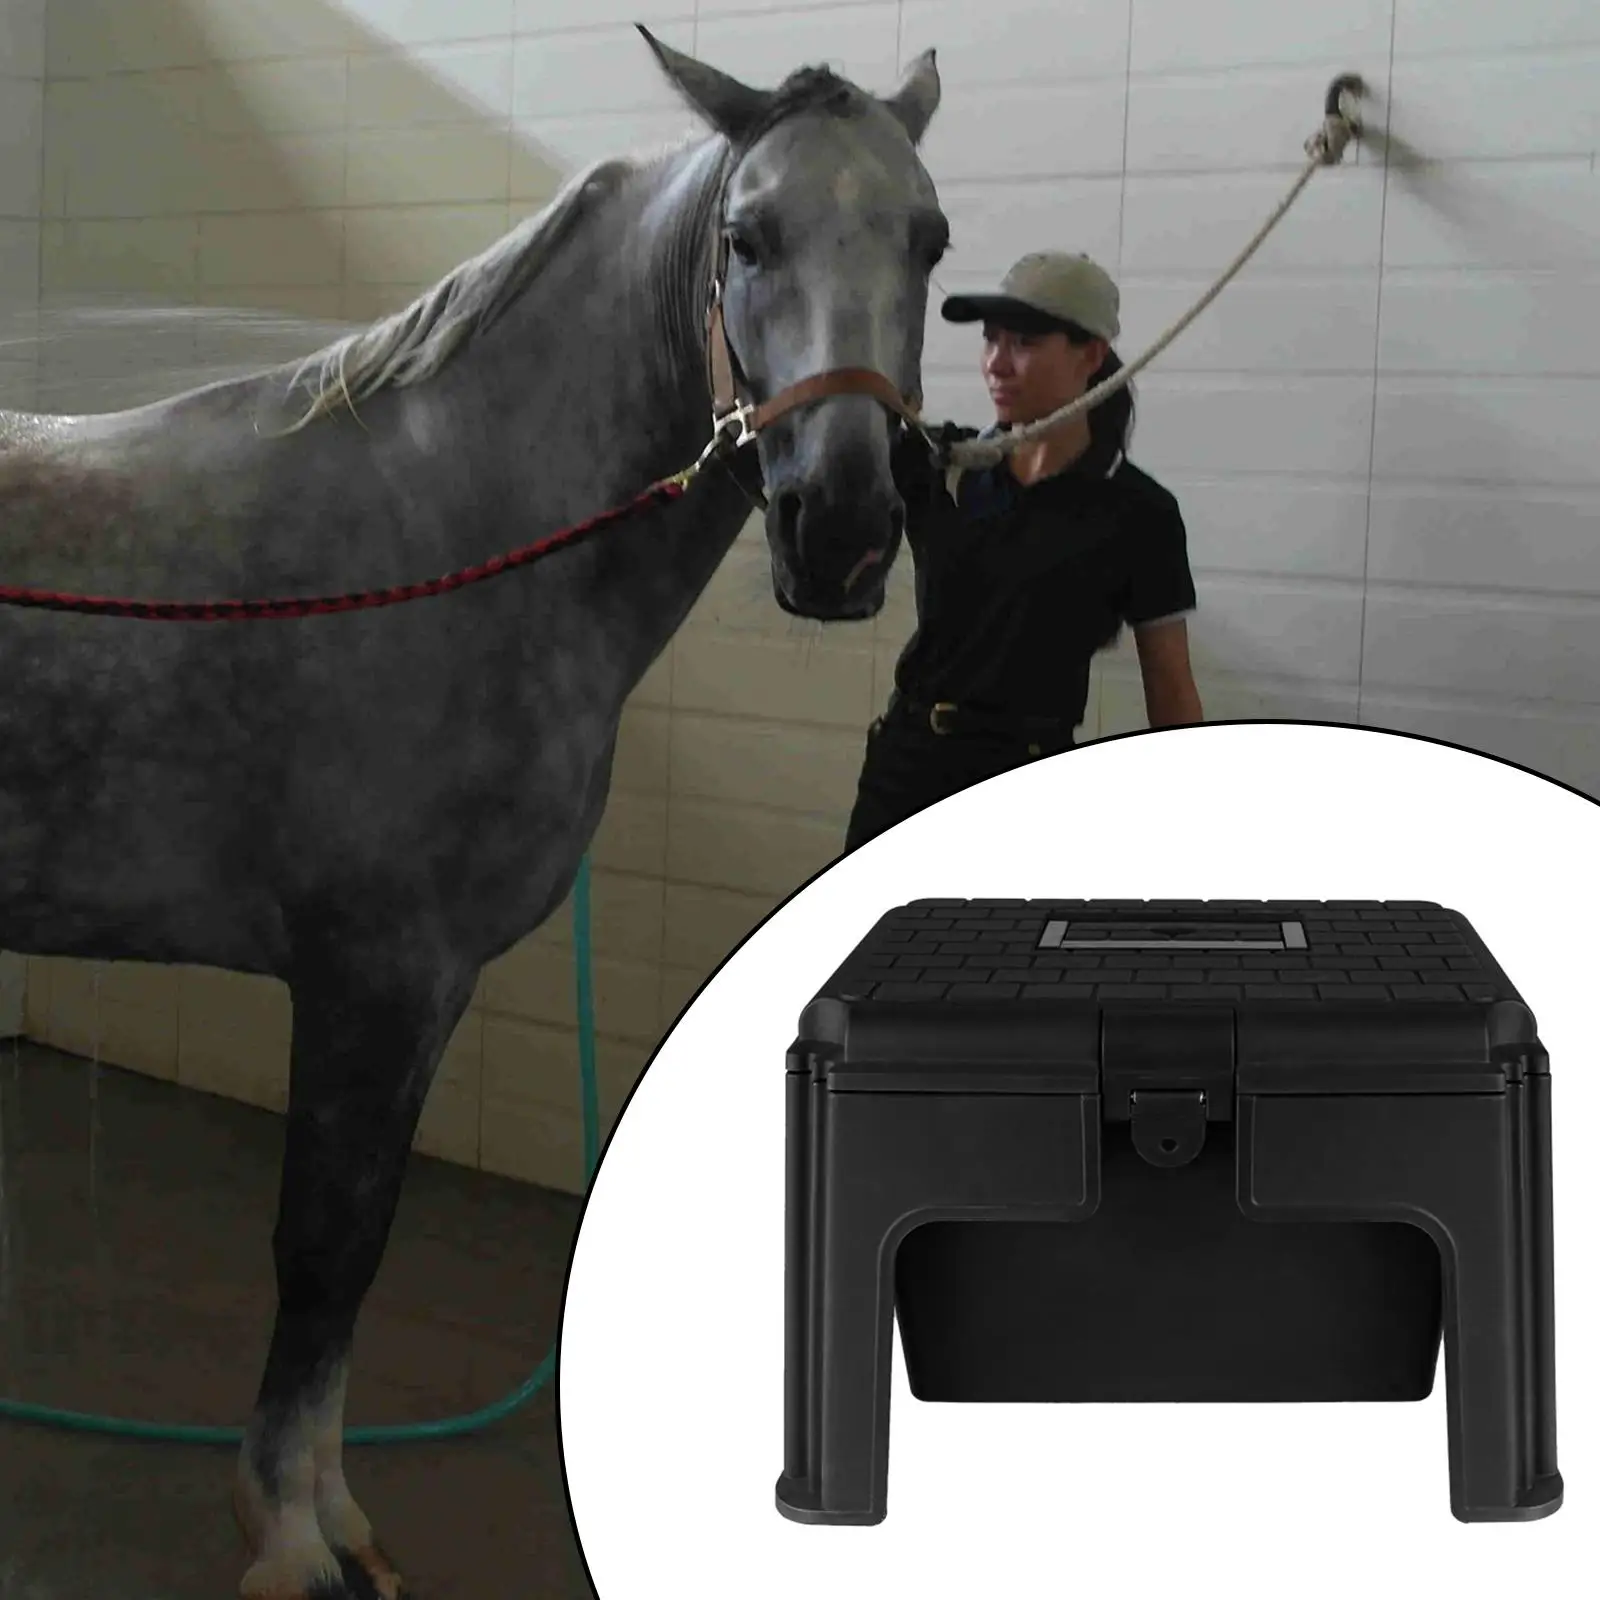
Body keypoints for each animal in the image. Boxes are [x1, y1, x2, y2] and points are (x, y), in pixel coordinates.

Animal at [0, 28, 946, 1600]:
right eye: (747, 238)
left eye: (929, 240)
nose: (845, 531)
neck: (455, 535)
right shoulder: (370, 978)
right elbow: (322, 1252)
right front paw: (289, 1538)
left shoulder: (428, 993)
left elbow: (362, 1253)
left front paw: (333, 1518)